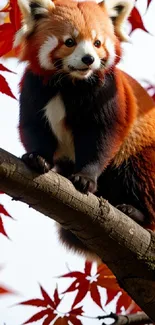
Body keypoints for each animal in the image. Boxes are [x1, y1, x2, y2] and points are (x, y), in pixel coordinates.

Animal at [15, 0, 155, 260]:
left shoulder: (109, 95)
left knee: (138, 171)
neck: (70, 83)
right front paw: (38, 157)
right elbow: (33, 127)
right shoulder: (34, 88)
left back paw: (136, 212)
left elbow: (102, 138)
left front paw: (86, 178)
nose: (89, 59)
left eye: (98, 42)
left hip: (141, 152)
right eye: (70, 41)